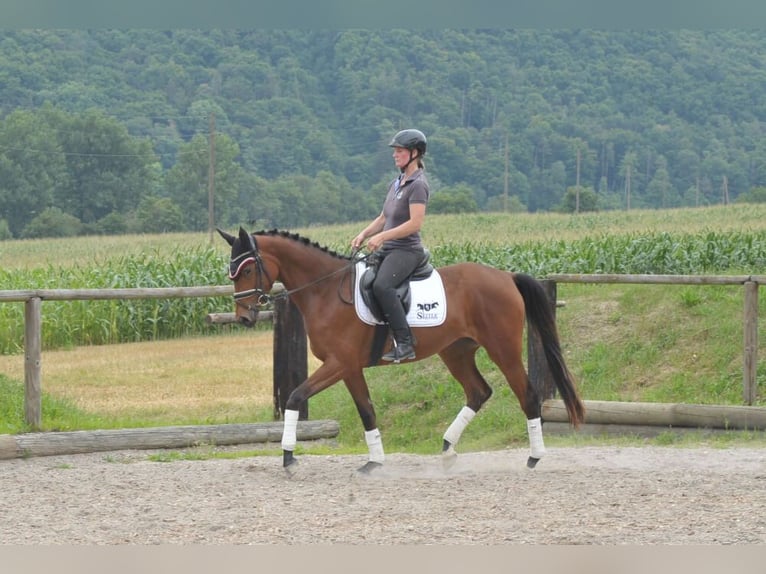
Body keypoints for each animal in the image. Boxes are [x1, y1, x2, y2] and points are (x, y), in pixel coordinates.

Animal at [219, 227, 584, 474]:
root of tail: (506, 276)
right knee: (479, 392)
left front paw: (289, 457)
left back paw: (534, 457)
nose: (244, 317)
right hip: (455, 352)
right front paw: (374, 462)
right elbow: (367, 410)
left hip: (502, 349)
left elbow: (295, 397)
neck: (325, 291)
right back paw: (447, 450)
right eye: (231, 272)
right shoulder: (349, 368)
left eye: (247, 270)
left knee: (527, 394)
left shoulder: (339, 364)